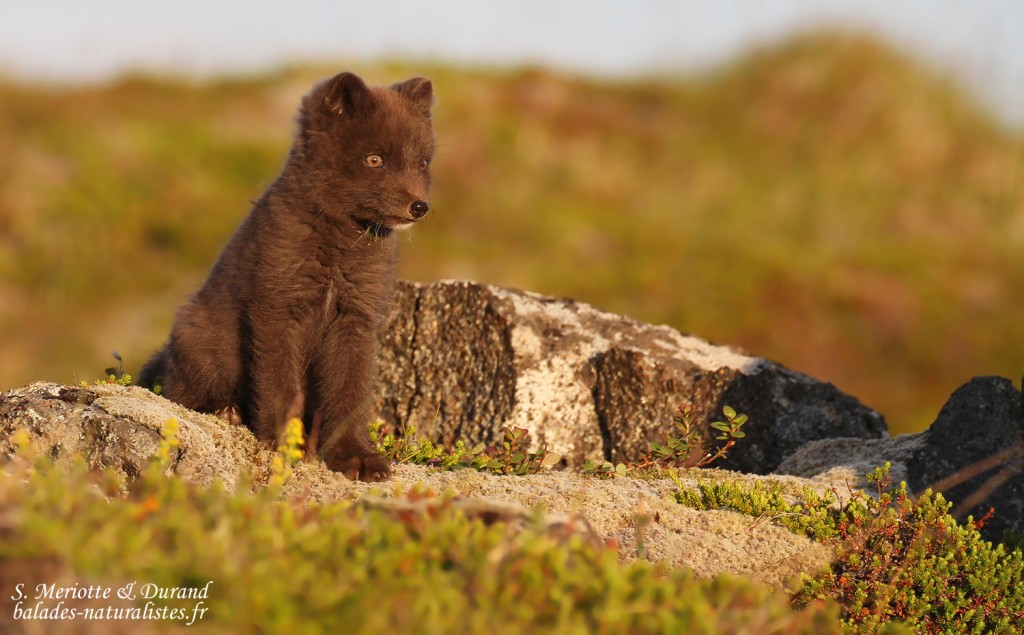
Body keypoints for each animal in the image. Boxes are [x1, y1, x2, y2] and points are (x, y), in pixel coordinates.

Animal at [137, 71, 434, 481]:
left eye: (422, 162)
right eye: (375, 159)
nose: (419, 207)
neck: (337, 243)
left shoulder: (355, 320)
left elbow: (349, 392)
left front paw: (355, 457)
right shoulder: (276, 309)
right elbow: (280, 385)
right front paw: (284, 445)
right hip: (200, 338)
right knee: (180, 392)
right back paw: (225, 411)